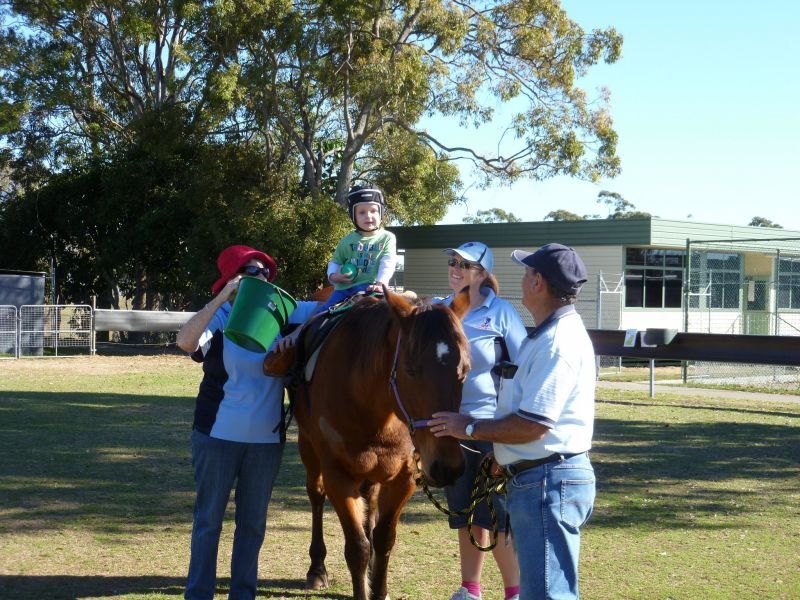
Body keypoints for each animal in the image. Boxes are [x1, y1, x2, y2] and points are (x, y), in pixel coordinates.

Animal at [289, 287, 471, 600]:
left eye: (465, 370)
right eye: (410, 370)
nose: (448, 466)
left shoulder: (404, 477)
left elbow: (384, 539)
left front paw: (378, 584)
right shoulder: (338, 476)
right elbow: (357, 547)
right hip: (308, 447)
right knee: (316, 494)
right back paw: (317, 568)